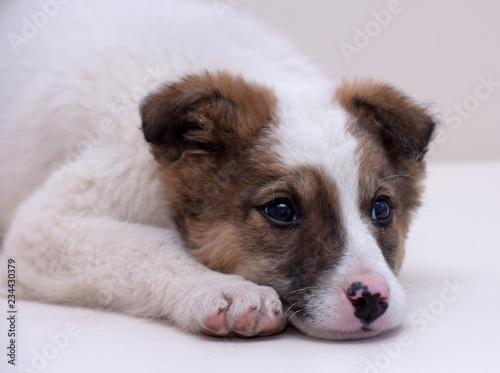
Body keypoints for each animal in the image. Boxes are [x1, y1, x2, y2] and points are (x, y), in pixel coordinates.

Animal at [0, 0, 434, 338]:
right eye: (281, 211)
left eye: (382, 208)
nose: (372, 298)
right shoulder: (43, 226)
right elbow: (149, 243)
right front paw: (221, 289)